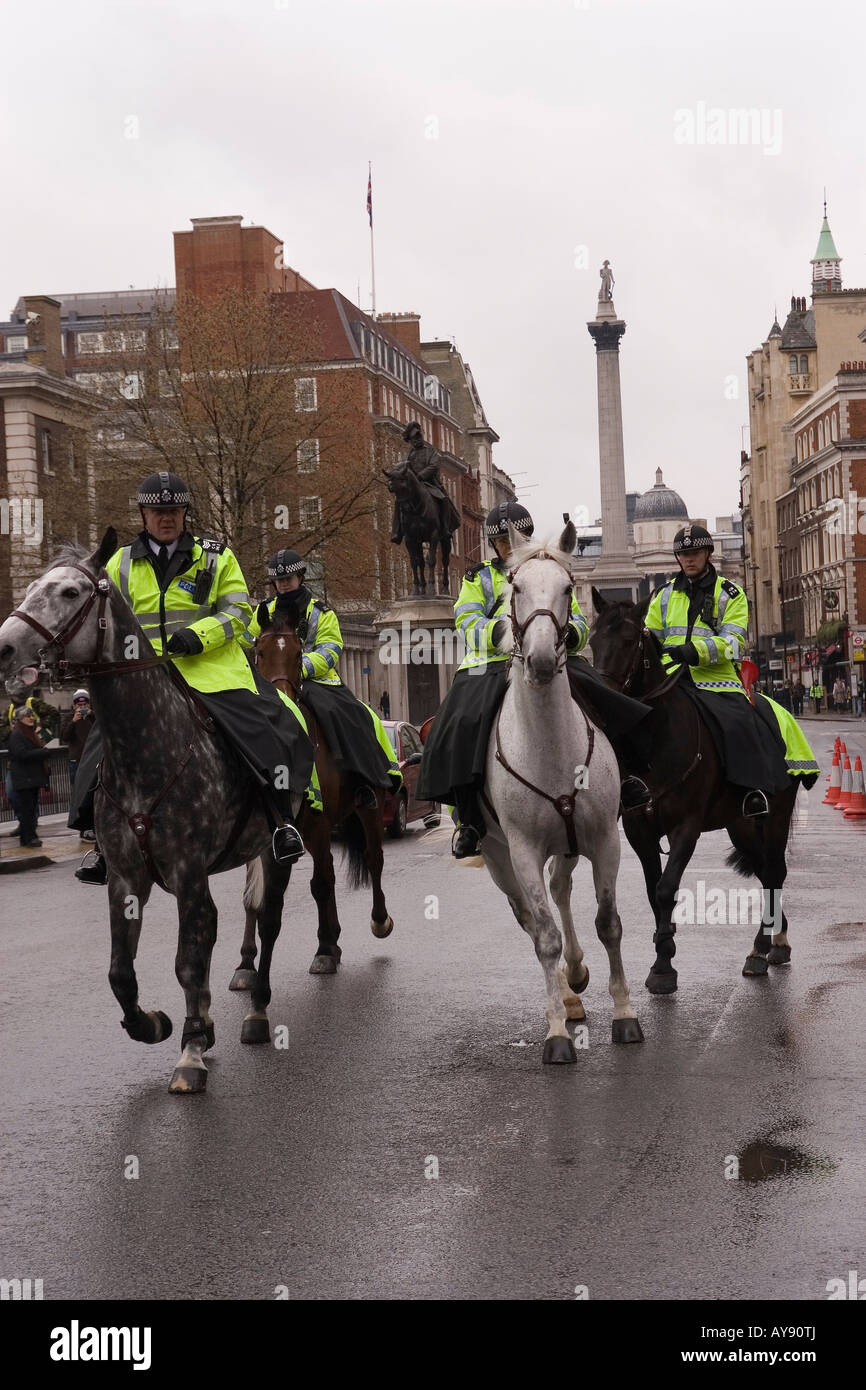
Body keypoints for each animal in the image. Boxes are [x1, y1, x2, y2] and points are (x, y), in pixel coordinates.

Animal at [0, 530, 301, 1095]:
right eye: (29, 587)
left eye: (71, 592)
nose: (5, 645)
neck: (147, 747)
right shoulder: (125, 877)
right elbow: (121, 972)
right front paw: (156, 1025)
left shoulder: (188, 874)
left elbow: (188, 963)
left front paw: (191, 1050)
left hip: (277, 853)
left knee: (268, 923)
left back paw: (256, 1011)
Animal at [229, 619, 394, 1000]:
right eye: (258, 652)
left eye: (297, 654)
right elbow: (251, 898)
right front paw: (245, 965)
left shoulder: (317, 824)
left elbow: (319, 884)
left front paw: (322, 951)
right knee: (330, 870)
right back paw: (333, 941)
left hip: (366, 809)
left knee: (372, 860)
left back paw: (375, 923)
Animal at [469, 522, 639, 1061]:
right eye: (515, 588)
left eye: (568, 588)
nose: (542, 660)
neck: (548, 744)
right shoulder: (522, 849)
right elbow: (544, 936)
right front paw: (557, 1034)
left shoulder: (604, 838)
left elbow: (609, 922)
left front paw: (625, 1013)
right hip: (499, 856)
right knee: (532, 915)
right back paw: (565, 995)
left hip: (569, 841)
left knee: (562, 889)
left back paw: (578, 975)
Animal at [589, 592, 800, 995]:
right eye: (591, 640)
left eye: (628, 641)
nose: (600, 708)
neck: (655, 738)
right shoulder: (639, 829)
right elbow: (653, 891)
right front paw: (663, 953)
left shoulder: (685, 827)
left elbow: (666, 888)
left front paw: (664, 962)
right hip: (741, 825)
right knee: (765, 871)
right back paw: (774, 941)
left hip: (776, 816)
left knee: (774, 871)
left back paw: (763, 948)